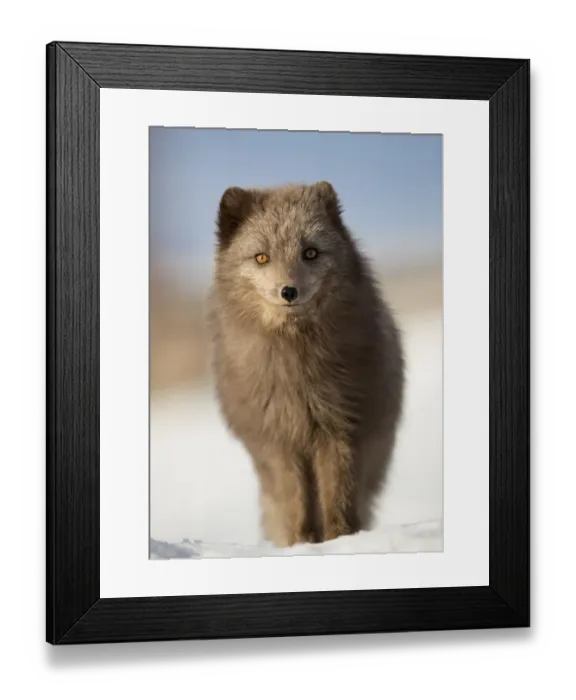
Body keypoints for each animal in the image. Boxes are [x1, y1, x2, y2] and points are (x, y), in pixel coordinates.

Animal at [208, 181, 405, 547]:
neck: (297, 376)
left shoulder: (340, 428)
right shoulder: (279, 440)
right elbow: (296, 502)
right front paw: (302, 545)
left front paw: (340, 541)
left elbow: (337, 498)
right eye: (262, 257)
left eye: (310, 253)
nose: (289, 291)